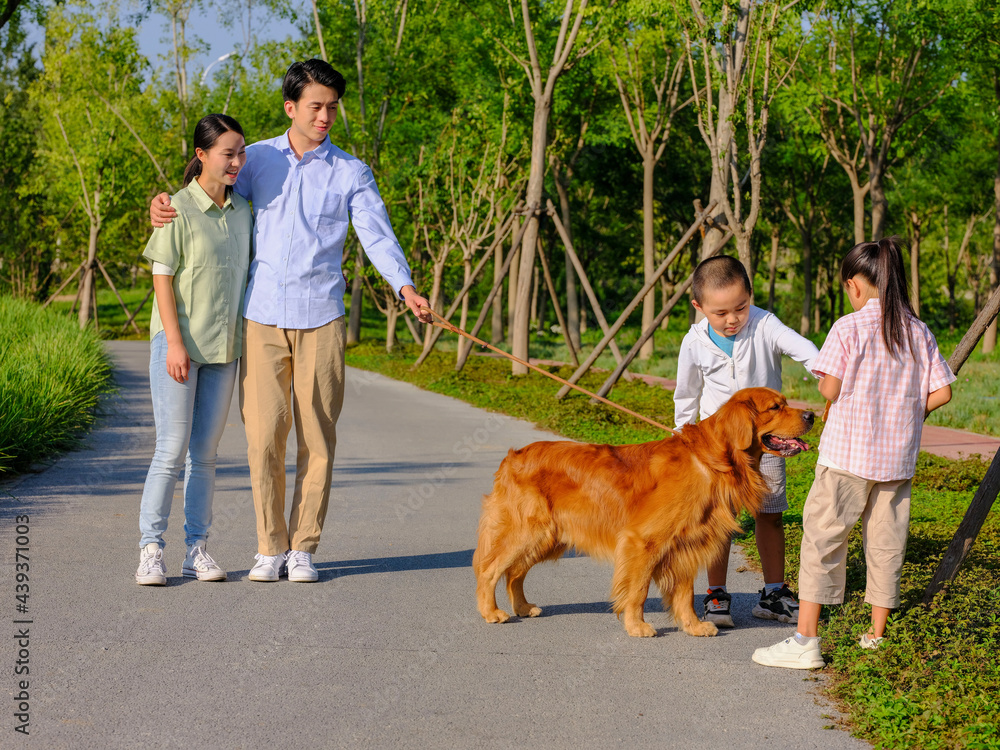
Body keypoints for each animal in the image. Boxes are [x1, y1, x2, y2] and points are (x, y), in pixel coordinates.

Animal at [474, 388, 812, 640]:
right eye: (775, 407)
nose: (810, 415)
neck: (711, 462)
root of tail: (511, 457)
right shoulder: (642, 542)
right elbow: (637, 589)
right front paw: (636, 626)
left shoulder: (685, 544)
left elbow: (684, 593)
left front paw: (692, 626)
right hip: (528, 532)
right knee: (489, 571)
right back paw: (491, 612)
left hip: (547, 538)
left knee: (515, 573)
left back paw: (522, 606)